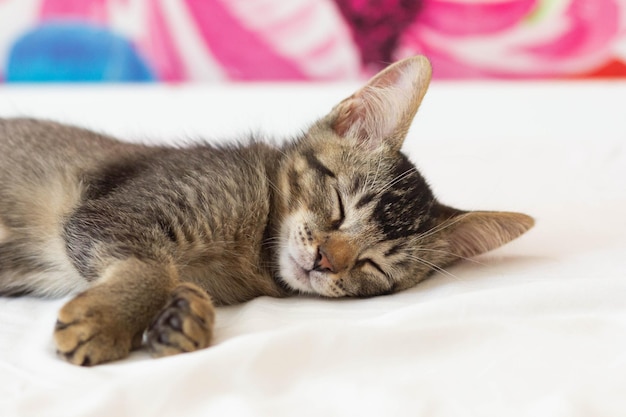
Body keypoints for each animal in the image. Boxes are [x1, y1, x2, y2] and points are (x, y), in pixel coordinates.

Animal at [0, 56, 532, 364]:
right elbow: (153, 267)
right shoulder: (109, 213)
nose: (325, 260)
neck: (250, 253)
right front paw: (107, 321)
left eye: (375, 265)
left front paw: (185, 319)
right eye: (339, 204)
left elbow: (169, 276)